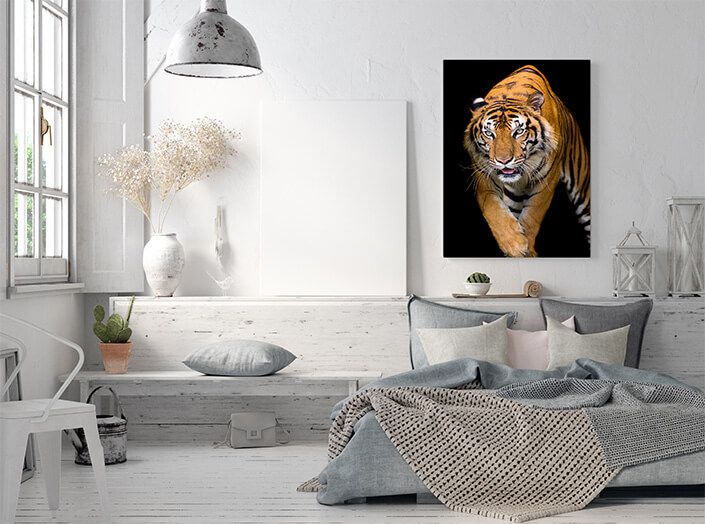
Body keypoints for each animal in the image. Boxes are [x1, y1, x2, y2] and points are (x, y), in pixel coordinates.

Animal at [463, 65, 590, 257]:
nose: (503, 161)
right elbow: (494, 210)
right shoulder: (484, 177)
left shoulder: (547, 180)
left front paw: (526, 248)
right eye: (489, 133)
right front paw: (513, 243)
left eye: (518, 131)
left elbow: (532, 215)